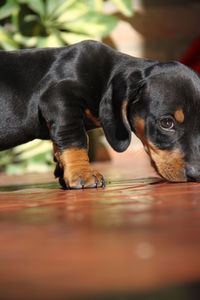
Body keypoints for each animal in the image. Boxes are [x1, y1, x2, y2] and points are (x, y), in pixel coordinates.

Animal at [0, 40, 199, 189]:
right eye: (166, 123)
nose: (196, 174)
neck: (104, 77)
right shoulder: (59, 97)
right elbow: (75, 138)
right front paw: (82, 173)